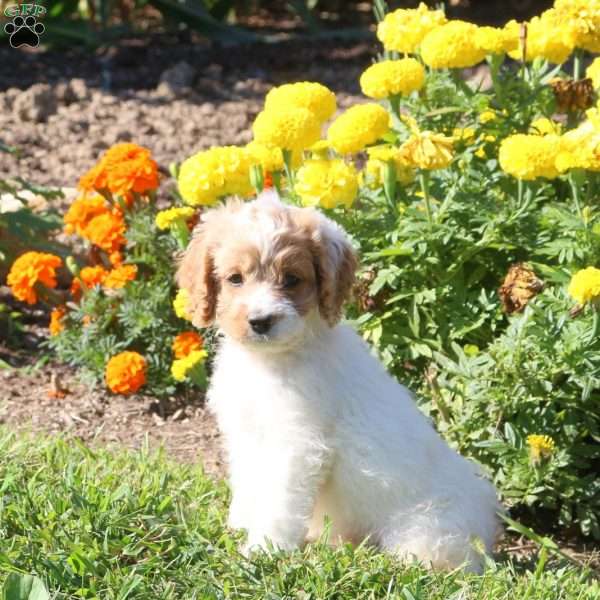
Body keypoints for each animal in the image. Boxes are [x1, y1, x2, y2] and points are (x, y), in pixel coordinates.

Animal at [178, 191, 502, 572]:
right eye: (235, 279)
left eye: (291, 279)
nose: (260, 321)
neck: (271, 361)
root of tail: (488, 524)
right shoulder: (245, 434)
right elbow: (248, 483)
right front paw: (241, 523)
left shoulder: (296, 445)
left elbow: (279, 502)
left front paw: (264, 548)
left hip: (428, 532)